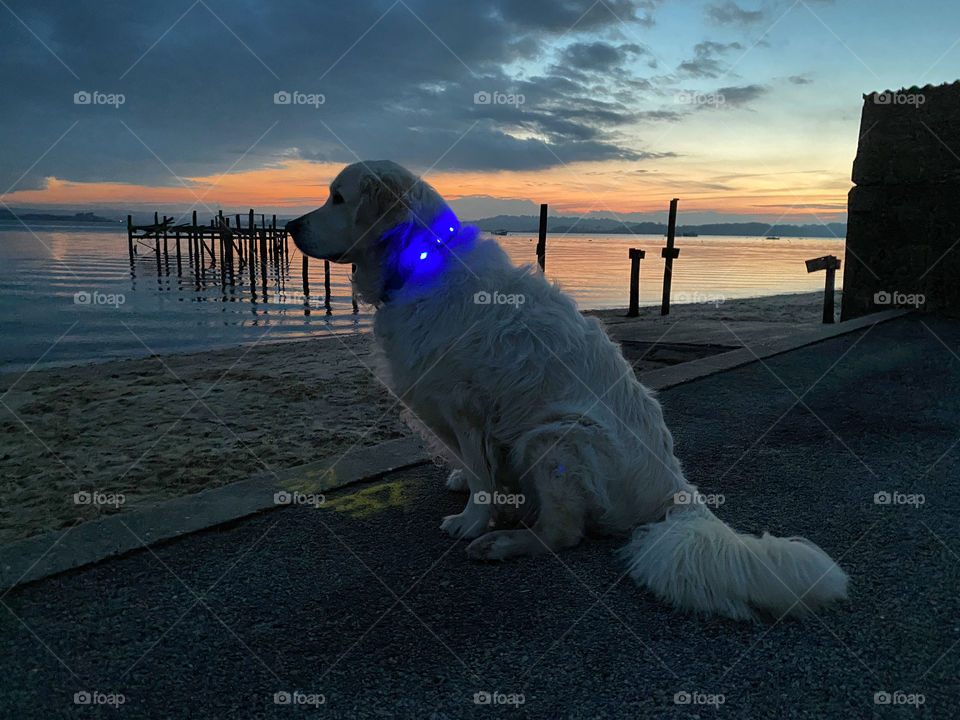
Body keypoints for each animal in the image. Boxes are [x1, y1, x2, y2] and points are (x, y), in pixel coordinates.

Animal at [286, 160, 848, 620]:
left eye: (338, 197)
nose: (289, 226)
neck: (421, 258)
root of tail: (676, 486)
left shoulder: (467, 408)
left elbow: (481, 472)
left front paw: (473, 521)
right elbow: (473, 468)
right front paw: (465, 486)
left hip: (556, 435)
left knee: (564, 535)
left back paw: (501, 544)